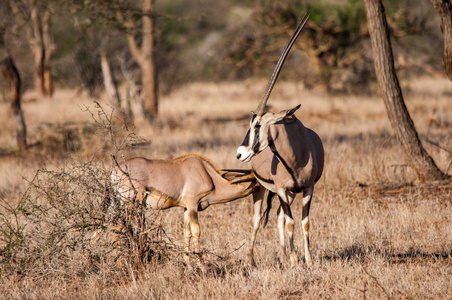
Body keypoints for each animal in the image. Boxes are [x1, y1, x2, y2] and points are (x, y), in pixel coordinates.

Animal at [235, 13, 324, 268]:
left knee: (278, 217)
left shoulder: (307, 188)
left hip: (288, 193)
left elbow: (303, 222)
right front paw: (295, 261)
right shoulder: (283, 190)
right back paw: (251, 261)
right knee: (258, 220)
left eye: (257, 125)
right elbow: (291, 222)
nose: (240, 153)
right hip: (261, 189)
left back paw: (283, 255)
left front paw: (307, 260)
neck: (297, 154)